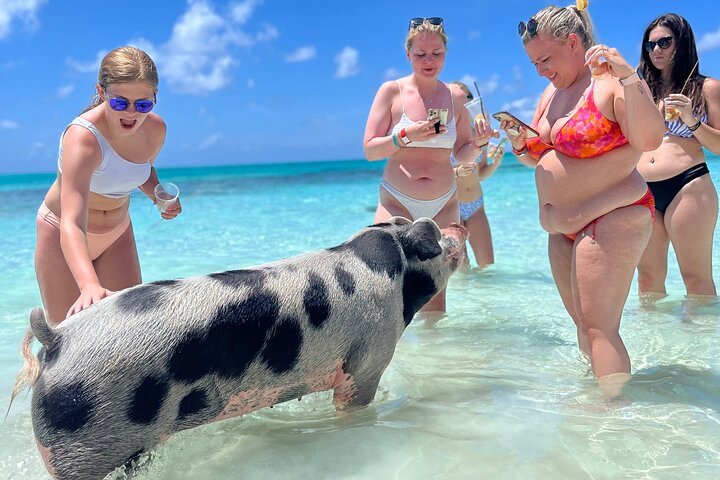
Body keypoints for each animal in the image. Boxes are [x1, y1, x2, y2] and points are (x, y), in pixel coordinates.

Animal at [14, 218, 466, 480]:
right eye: (436, 236)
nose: (457, 225)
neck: (394, 273)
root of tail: (55, 340)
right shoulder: (369, 356)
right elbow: (354, 402)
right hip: (81, 450)